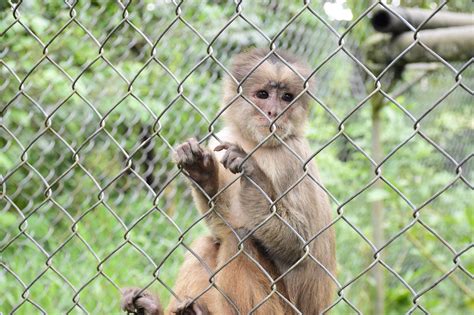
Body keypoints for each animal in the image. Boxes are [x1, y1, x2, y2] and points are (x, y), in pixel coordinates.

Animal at [122, 48, 336, 314]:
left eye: (287, 97)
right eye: (263, 95)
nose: (274, 113)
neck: (255, 142)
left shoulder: (291, 157)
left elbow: (299, 245)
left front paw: (253, 174)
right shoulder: (222, 139)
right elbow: (224, 226)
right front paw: (203, 175)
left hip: (281, 308)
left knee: (239, 241)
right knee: (212, 242)